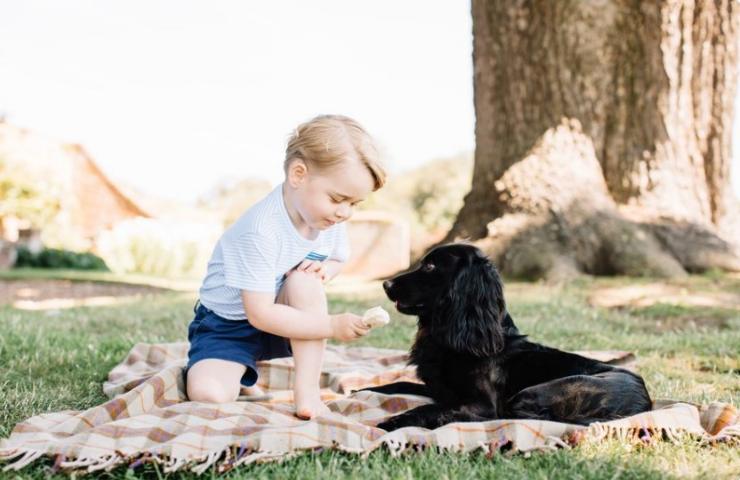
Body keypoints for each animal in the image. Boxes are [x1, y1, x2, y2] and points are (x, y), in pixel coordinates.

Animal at [366, 244, 652, 432]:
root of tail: (645, 403)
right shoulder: (439, 389)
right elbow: (396, 384)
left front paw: (394, 421)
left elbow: (432, 409)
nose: (386, 284)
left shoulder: (481, 404)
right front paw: (362, 390)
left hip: (535, 393)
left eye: (430, 266)